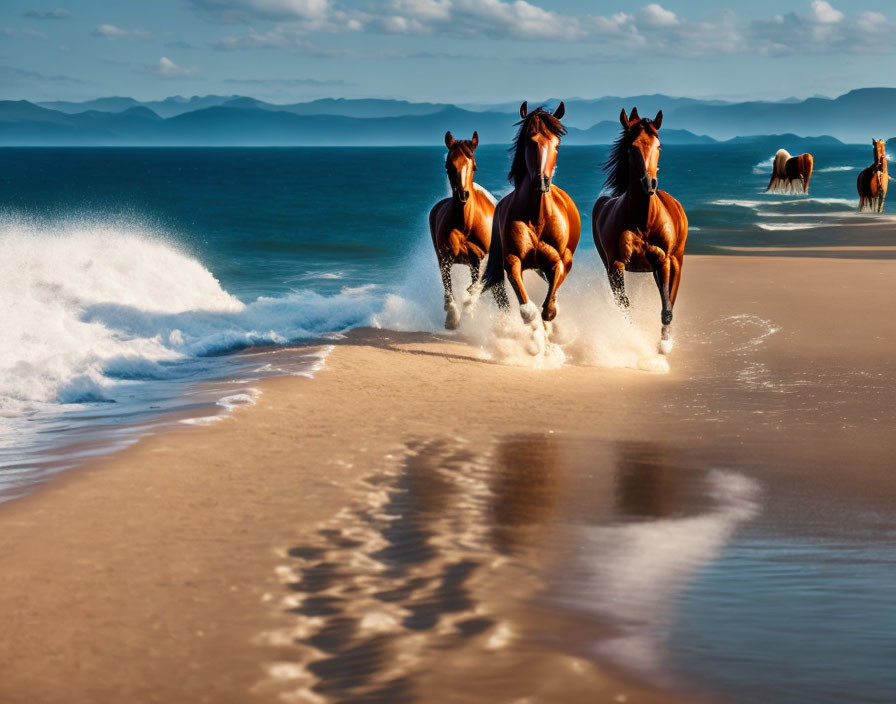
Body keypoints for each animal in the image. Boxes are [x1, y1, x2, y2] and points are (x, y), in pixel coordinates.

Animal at [428, 131, 496, 328]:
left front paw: (468, 308)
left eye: (474, 166)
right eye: (448, 165)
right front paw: (452, 318)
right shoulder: (445, 259)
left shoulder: (480, 259)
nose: (463, 195)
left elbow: (474, 288)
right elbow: (449, 289)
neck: (466, 225)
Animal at [484, 103, 580, 328]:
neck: (537, 218)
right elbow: (528, 310)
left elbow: (549, 308)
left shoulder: (558, 261)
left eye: (556, 143)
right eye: (531, 140)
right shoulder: (512, 260)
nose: (542, 182)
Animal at [592, 107, 688, 352]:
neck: (643, 220)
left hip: (675, 262)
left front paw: (664, 345)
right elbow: (624, 305)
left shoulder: (663, 261)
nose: (649, 183)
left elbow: (666, 308)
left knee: (670, 299)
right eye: (631, 146)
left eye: (659, 145)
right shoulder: (616, 265)